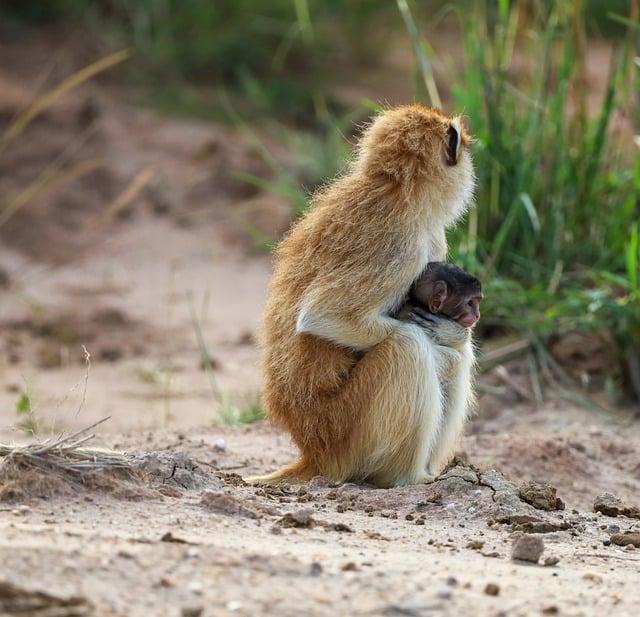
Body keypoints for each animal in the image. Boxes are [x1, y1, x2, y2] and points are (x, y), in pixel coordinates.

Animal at [245, 104, 476, 486]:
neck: (399, 190)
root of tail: (314, 453)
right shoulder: (401, 244)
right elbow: (322, 317)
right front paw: (446, 346)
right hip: (345, 429)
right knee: (408, 348)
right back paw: (410, 477)